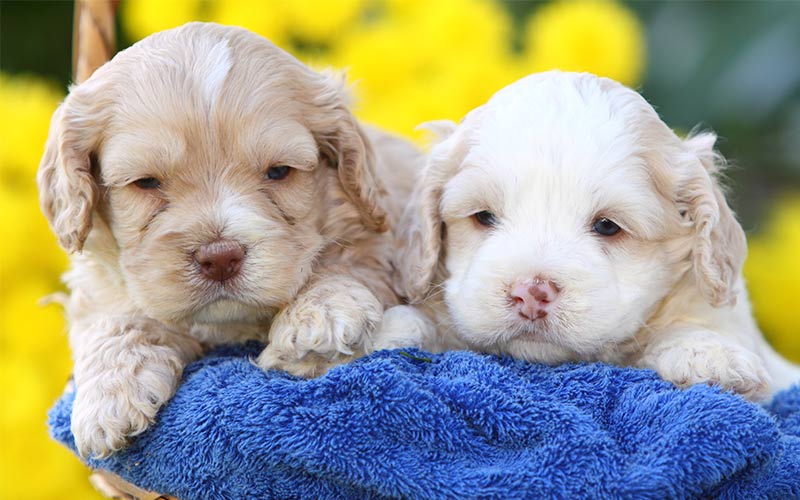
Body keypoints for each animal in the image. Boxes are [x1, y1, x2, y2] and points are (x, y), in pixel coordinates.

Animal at [39, 24, 422, 460]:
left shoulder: (381, 232)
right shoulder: (99, 280)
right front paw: (109, 396)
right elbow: (116, 317)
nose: (220, 257)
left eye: (279, 172)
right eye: (146, 183)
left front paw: (320, 311)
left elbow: (349, 261)